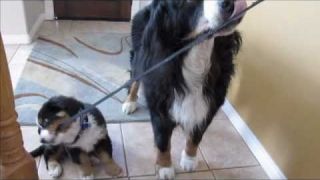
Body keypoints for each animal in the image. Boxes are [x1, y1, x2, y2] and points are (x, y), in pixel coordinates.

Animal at [123, 0, 248, 179]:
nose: (229, 4)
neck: (197, 49)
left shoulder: (210, 101)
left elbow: (196, 135)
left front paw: (189, 159)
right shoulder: (160, 102)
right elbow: (162, 141)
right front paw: (165, 168)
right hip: (139, 55)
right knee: (135, 78)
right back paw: (129, 102)